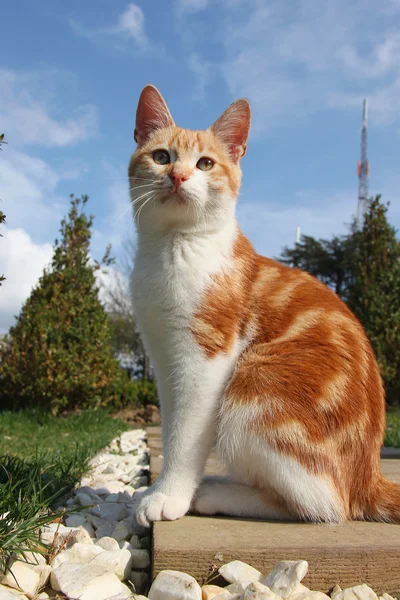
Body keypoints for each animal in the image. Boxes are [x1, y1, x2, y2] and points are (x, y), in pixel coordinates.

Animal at [129, 83, 400, 524]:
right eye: (161, 157)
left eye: (205, 163)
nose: (178, 175)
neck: (172, 248)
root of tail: (369, 475)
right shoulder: (164, 359)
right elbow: (170, 427)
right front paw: (160, 486)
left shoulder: (207, 357)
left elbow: (186, 434)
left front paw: (169, 495)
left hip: (254, 384)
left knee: (325, 503)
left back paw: (216, 494)